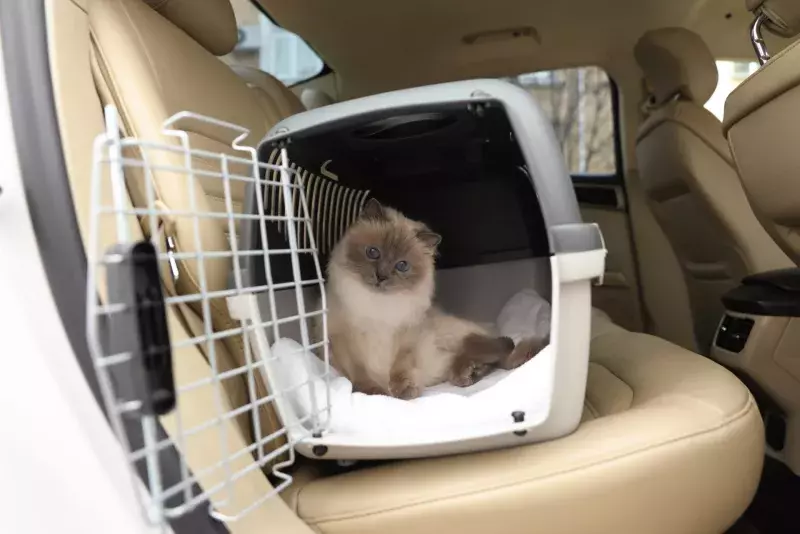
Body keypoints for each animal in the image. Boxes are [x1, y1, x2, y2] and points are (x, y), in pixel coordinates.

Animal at [320, 199, 536, 400]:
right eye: (373, 252)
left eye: (402, 266)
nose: (381, 277)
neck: (379, 306)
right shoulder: (345, 341)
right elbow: (361, 375)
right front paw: (376, 394)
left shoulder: (407, 337)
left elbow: (400, 369)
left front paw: (404, 391)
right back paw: (471, 373)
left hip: (456, 338)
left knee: (501, 347)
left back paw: (470, 372)